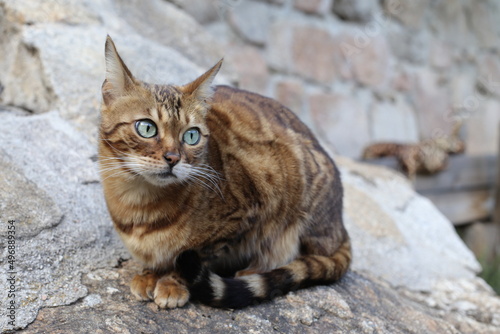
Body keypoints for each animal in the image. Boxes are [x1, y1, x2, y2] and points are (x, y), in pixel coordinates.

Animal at [97, 36, 352, 308]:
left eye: (191, 135)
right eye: (146, 128)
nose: (173, 158)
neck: (138, 203)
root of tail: (340, 225)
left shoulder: (246, 212)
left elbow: (194, 255)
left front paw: (171, 282)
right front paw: (150, 274)